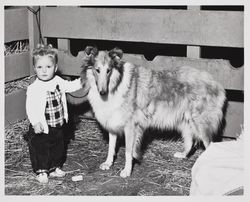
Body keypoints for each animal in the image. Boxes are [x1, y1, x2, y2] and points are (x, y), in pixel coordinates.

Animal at [80, 46, 227, 178]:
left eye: (108, 71)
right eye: (97, 70)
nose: (102, 92)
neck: (117, 84)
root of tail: (216, 83)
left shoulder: (131, 126)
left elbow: (128, 151)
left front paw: (127, 171)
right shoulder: (113, 121)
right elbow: (111, 147)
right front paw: (108, 163)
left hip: (201, 124)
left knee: (209, 145)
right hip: (186, 121)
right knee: (190, 141)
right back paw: (182, 155)